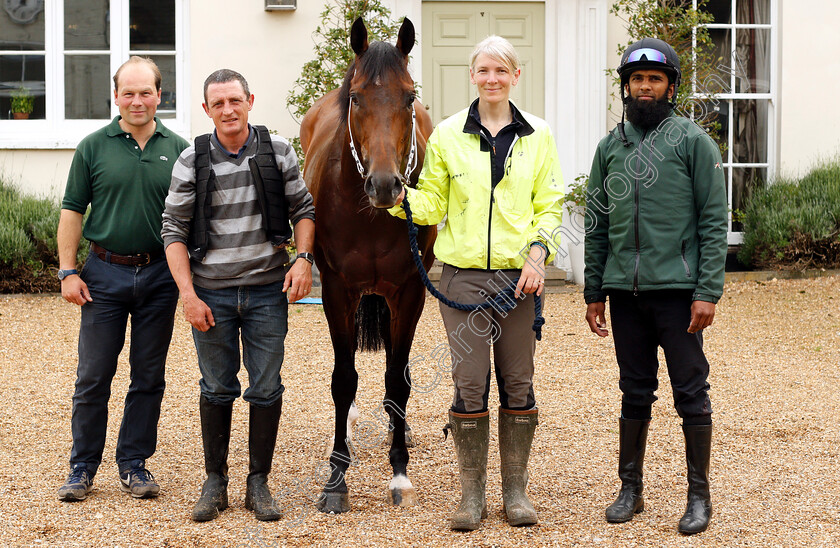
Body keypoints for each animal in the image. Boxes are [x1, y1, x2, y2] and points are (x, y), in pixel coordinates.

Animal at [300, 17, 434, 512]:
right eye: (356, 97)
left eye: (409, 96)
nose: (384, 185)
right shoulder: (338, 291)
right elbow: (343, 379)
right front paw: (336, 479)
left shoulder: (411, 291)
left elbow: (398, 379)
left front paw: (399, 474)